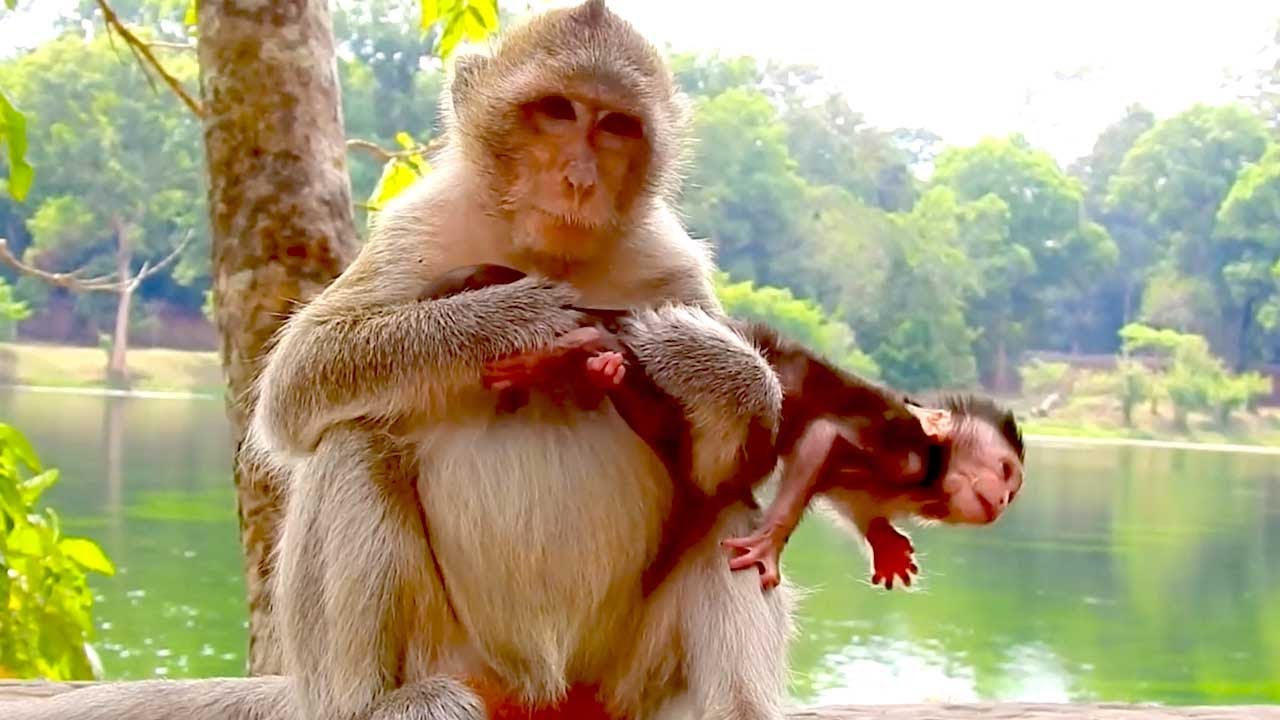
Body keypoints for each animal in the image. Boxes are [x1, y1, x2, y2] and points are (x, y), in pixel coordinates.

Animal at [420, 263, 1028, 594]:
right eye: (1003, 470)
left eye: (1011, 485)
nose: (1001, 499)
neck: (930, 471)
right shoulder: (901, 446)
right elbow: (822, 439)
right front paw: (772, 541)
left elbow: (842, 487)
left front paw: (882, 537)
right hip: (678, 335)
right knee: (747, 388)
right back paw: (582, 347)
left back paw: (592, 358)